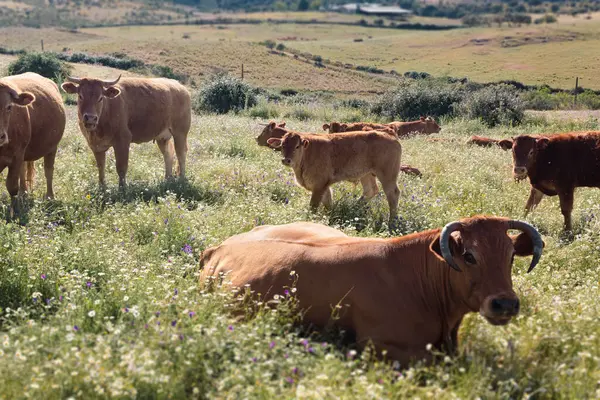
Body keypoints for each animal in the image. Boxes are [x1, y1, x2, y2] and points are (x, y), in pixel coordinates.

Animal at [0, 72, 66, 209]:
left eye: (9, 107)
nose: (0, 136)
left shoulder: (16, 156)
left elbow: (11, 187)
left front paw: (14, 210)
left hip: (52, 147)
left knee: (48, 170)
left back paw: (50, 197)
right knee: (24, 170)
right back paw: (23, 193)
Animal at [60, 75, 190, 188]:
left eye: (100, 98)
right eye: (80, 96)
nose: (91, 118)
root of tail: (180, 87)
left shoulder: (122, 141)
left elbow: (121, 167)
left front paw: (122, 189)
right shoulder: (96, 146)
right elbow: (101, 166)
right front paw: (102, 187)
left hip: (180, 133)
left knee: (181, 153)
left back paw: (181, 179)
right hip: (162, 137)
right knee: (168, 154)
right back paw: (168, 178)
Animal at [266, 130, 400, 227]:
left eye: (297, 146)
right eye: (283, 145)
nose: (286, 160)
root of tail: (390, 135)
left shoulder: (319, 186)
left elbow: (313, 206)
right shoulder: (325, 185)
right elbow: (327, 203)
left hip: (388, 176)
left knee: (393, 194)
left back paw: (392, 221)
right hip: (367, 174)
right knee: (370, 190)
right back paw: (354, 208)